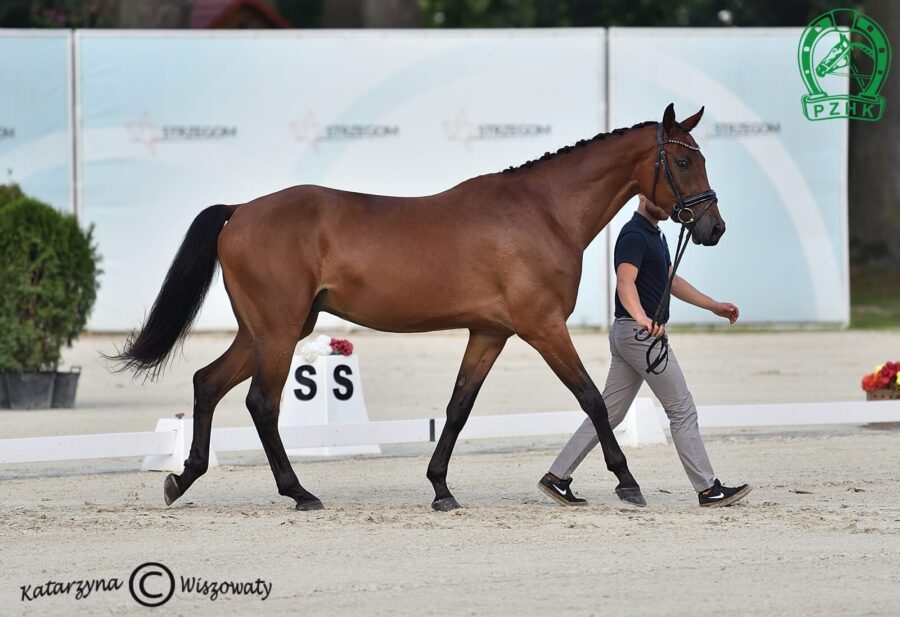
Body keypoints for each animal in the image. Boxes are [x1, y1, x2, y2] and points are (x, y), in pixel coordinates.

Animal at [116, 104, 728, 510]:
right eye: (682, 162)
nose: (713, 228)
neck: (543, 211)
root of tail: (240, 210)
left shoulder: (489, 333)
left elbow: (458, 409)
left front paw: (440, 489)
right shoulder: (543, 327)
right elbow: (592, 400)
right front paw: (626, 482)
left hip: (265, 330)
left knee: (207, 383)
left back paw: (182, 479)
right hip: (279, 331)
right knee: (260, 404)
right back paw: (300, 492)